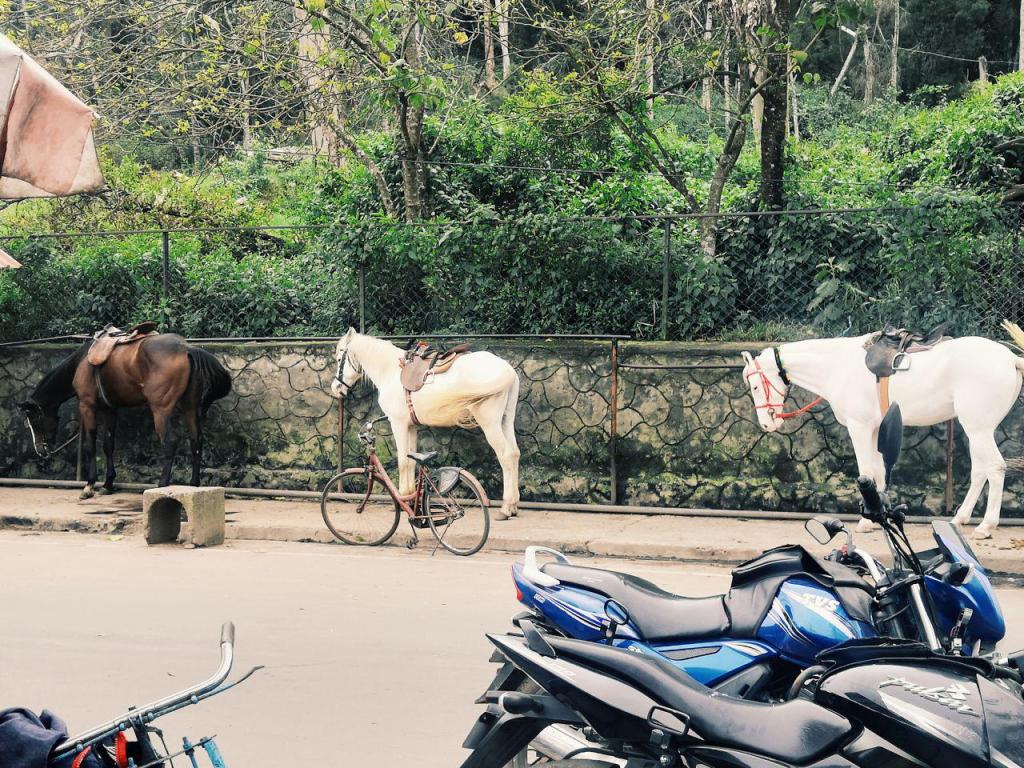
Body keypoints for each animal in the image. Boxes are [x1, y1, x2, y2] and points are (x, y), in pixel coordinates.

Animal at [19, 334, 232, 499]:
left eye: (34, 420)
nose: (40, 451)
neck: (82, 362)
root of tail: (186, 348)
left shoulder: (87, 406)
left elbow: (90, 444)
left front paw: (89, 485)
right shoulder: (110, 409)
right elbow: (108, 445)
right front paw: (107, 484)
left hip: (160, 409)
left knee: (170, 443)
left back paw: (162, 485)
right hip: (189, 408)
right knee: (196, 441)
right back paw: (194, 486)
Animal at [330, 329, 522, 520]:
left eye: (339, 359)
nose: (335, 388)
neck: (390, 372)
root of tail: (509, 372)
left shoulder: (398, 424)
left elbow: (402, 461)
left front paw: (403, 498)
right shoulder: (411, 427)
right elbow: (411, 462)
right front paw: (410, 498)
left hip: (490, 424)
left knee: (505, 455)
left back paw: (505, 508)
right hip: (505, 421)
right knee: (514, 453)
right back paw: (513, 506)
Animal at [741, 328, 1024, 539]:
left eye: (754, 386)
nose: (766, 424)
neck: (837, 367)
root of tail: (1010, 358)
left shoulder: (859, 427)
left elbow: (866, 470)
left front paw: (866, 522)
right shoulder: (876, 428)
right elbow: (877, 472)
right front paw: (878, 515)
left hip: (979, 429)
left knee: (995, 468)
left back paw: (986, 526)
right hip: (976, 430)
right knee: (980, 471)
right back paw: (960, 518)